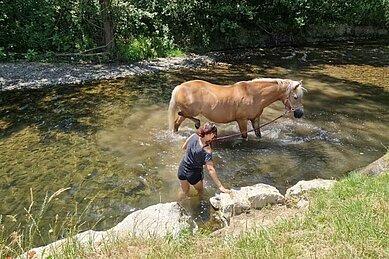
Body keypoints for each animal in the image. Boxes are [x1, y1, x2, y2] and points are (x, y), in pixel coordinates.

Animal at [168, 77, 304, 139]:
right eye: (295, 97)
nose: (300, 113)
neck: (254, 95)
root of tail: (179, 87)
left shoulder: (255, 119)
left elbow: (258, 134)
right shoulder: (242, 120)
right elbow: (244, 136)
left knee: (177, 123)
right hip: (191, 110)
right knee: (181, 115)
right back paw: (197, 123)